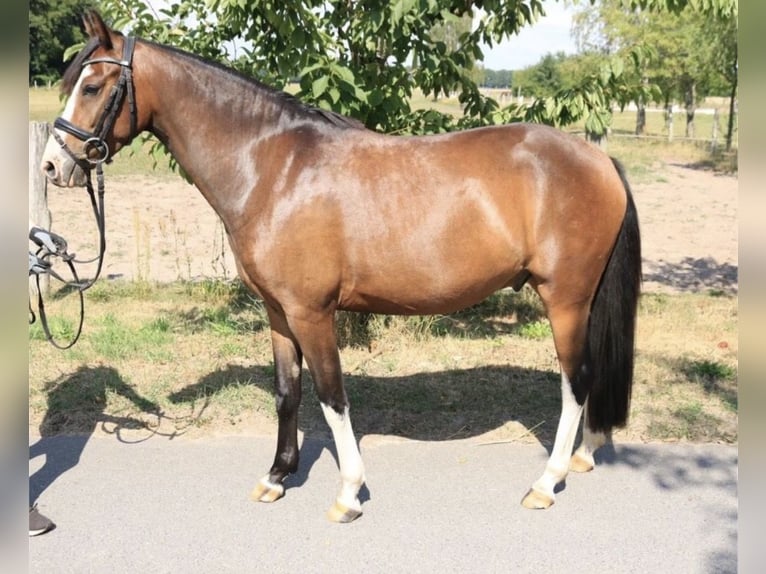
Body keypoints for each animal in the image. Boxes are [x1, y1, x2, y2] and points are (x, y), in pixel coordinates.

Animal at [42, 11, 641, 523]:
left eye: (92, 86)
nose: (52, 165)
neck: (273, 169)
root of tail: (598, 158)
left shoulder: (312, 313)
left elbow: (332, 398)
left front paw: (349, 492)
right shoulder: (278, 313)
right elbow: (288, 393)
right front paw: (277, 477)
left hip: (565, 299)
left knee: (575, 383)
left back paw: (546, 482)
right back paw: (584, 455)